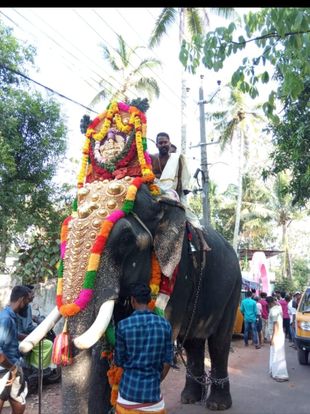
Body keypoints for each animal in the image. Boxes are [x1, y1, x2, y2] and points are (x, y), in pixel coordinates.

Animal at [19, 98, 242, 412]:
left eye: (125, 240)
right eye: (65, 236)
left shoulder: (178, 272)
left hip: (234, 286)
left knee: (218, 342)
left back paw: (217, 404)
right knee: (193, 342)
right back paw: (189, 397)